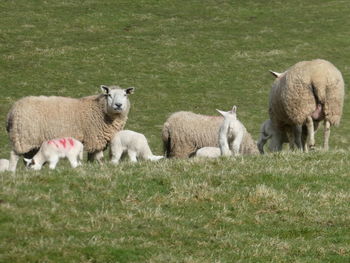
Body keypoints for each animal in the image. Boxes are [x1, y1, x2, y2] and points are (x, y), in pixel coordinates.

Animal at [7, 85, 135, 173]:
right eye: (109, 95)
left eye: (125, 95)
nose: (118, 105)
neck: (101, 110)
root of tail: (12, 111)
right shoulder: (95, 137)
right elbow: (100, 158)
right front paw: (103, 168)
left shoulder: (92, 139)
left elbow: (91, 156)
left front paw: (90, 166)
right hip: (23, 137)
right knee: (14, 155)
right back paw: (12, 172)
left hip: (31, 141)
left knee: (27, 157)